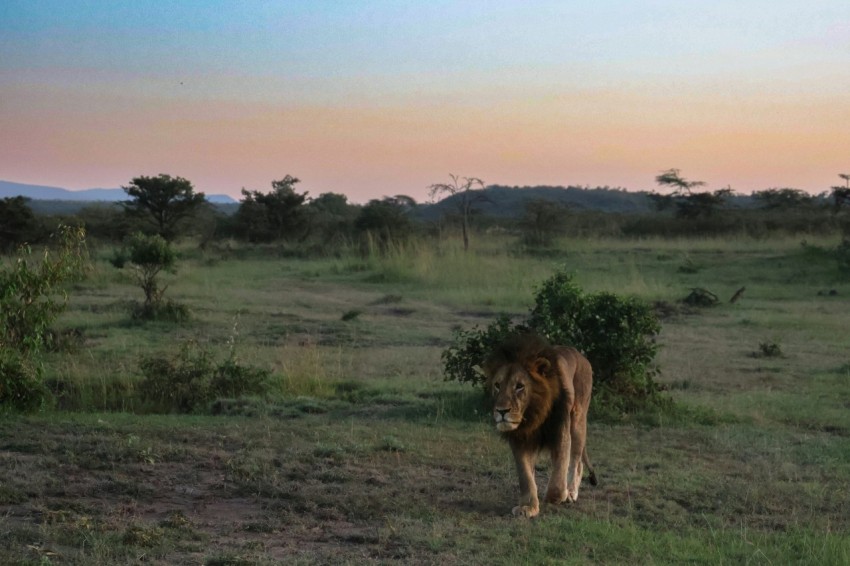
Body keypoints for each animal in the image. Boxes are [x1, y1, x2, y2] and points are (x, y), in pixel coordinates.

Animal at [484, 332, 596, 520]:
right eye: (497, 385)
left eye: (519, 386)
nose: (501, 411)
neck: (533, 413)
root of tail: (581, 356)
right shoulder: (519, 440)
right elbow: (525, 475)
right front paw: (528, 507)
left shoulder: (560, 432)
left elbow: (559, 473)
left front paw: (557, 496)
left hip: (578, 420)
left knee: (576, 461)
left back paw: (571, 493)